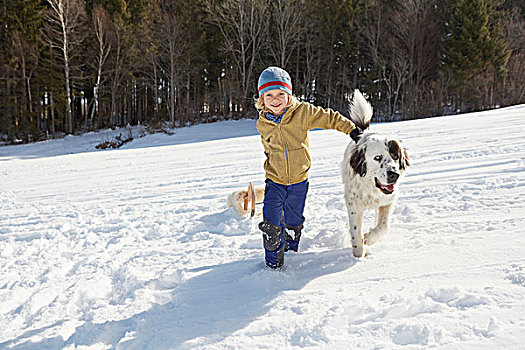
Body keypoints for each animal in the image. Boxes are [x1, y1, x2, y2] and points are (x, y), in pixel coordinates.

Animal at [342, 90, 412, 258]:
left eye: (395, 156)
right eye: (377, 158)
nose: (393, 174)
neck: (371, 190)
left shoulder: (388, 201)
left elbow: (383, 227)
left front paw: (368, 238)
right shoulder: (353, 205)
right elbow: (355, 232)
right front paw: (359, 253)